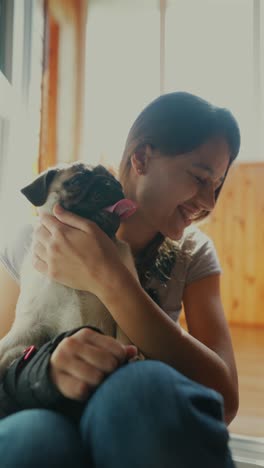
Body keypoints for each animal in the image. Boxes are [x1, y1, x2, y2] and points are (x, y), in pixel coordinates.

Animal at [0, 162, 141, 376]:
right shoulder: (29, 326)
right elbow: (6, 349)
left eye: (113, 178)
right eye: (77, 180)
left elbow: (124, 340)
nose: (112, 184)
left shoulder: (121, 325)